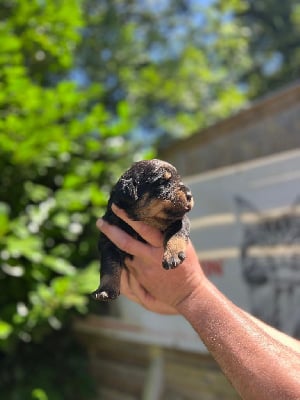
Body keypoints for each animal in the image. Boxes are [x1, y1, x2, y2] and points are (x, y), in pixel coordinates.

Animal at [92, 159, 195, 300]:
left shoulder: (181, 220)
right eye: (162, 182)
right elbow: (110, 266)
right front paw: (106, 290)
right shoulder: (108, 241)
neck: (146, 219)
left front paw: (173, 255)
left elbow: (177, 233)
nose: (190, 195)